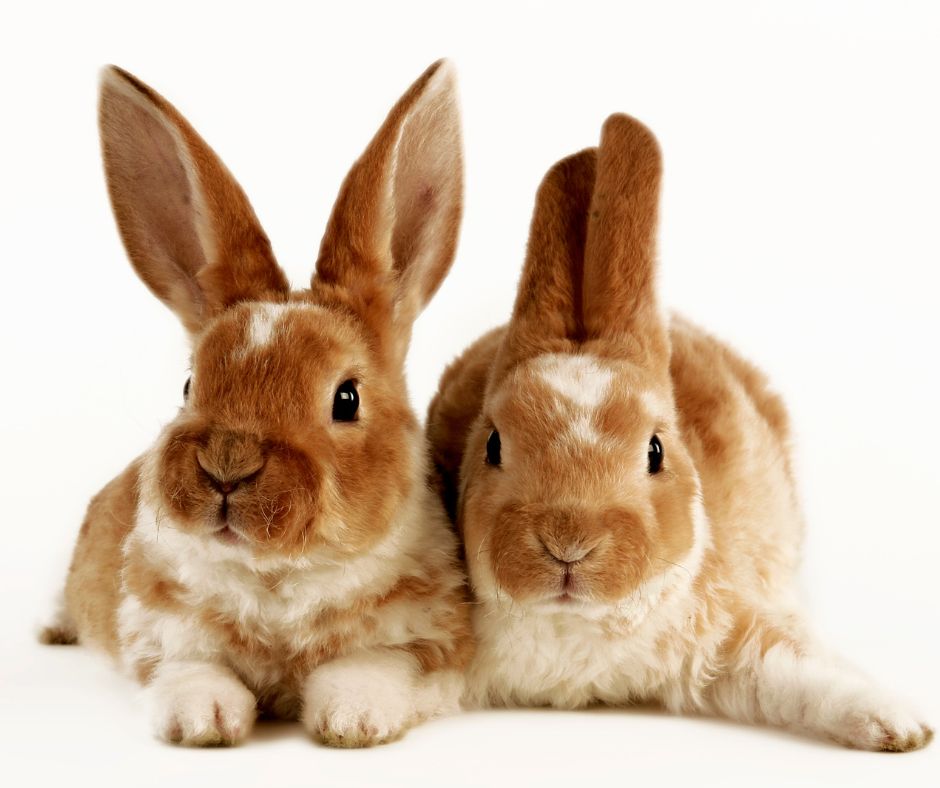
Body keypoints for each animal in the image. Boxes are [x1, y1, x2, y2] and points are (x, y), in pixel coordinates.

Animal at [40, 60, 473, 748]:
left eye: (346, 398)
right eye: (189, 384)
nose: (227, 463)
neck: (278, 573)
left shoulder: (429, 639)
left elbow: (372, 666)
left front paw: (352, 719)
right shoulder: (163, 634)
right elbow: (192, 671)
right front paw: (204, 721)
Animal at [426, 113, 932, 752]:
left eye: (655, 450)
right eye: (492, 445)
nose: (569, 543)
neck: (573, 623)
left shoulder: (735, 635)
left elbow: (805, 670)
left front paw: (900, 725)